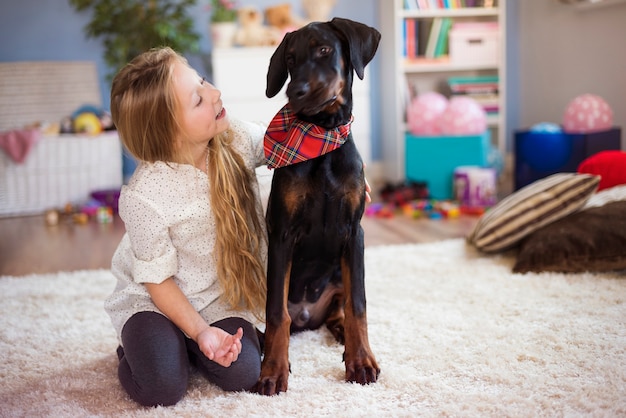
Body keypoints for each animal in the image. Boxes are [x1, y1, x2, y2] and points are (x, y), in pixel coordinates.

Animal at [254, 17, 380, 396]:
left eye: (324, 49)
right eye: (290, 59)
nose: (296, 91)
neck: (321, 137)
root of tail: (307, 316)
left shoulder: (354, 233)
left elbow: (358, 304)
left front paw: (361, 360)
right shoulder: (282, 233)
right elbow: (276, 313)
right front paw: (273, 371)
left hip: (338, 273)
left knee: (341, 309)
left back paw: (343, 337)